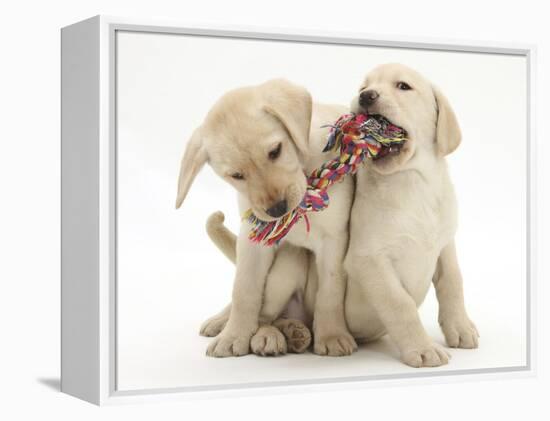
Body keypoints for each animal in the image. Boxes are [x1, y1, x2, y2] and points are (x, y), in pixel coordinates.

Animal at [176, 78, 358, 354]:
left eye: (275, 151)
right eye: (236, 175)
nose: (277, 209)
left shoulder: (335, 239)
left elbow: (331, 290)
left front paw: (331, 335)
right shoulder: (252, 242)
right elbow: (244, 290)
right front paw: (234, 335)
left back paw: (293, 333)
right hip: (287, 264)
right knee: (264, 315)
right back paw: (260, 332)